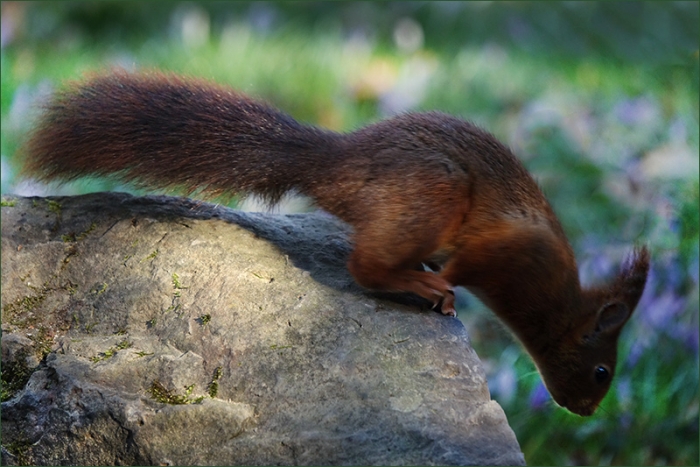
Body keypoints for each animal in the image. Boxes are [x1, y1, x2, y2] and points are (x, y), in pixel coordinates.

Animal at [20, 70, 649, 416]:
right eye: (602, 373)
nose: (586, 413)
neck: (554, 295)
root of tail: (339, 162)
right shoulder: (511, 252)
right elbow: (464, 266)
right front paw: (446, 286)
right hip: (432, 193)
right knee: (364, 266)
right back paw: (418, 284)